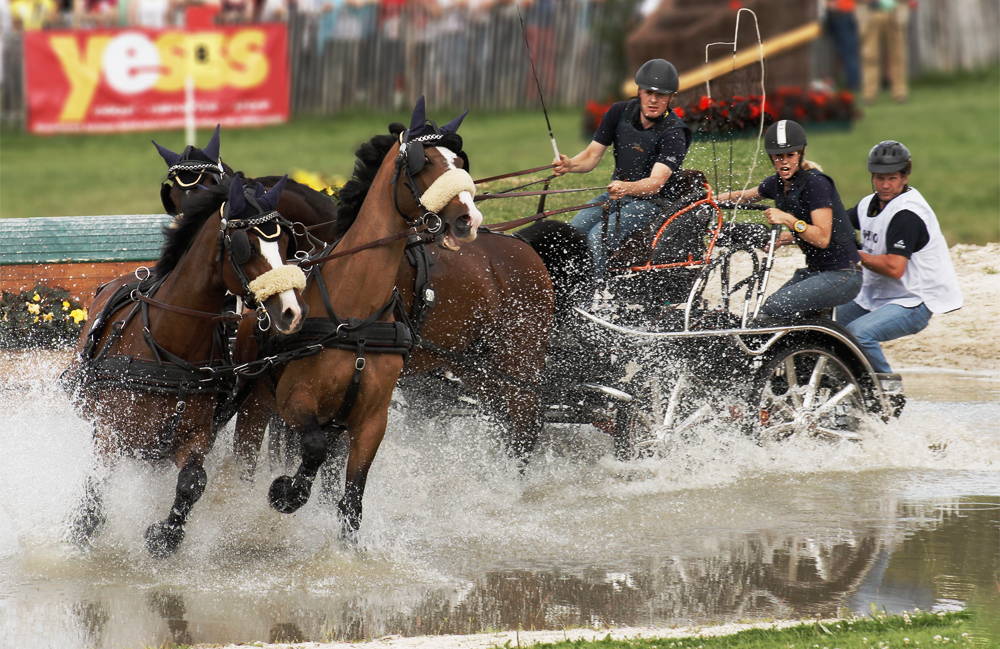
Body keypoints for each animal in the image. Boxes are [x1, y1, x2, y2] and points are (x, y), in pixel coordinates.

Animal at [64, 175, 306, 556]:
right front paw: (83, 527)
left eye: (284, 242)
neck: (166, 346)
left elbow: (193, 482)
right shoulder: (110, 433)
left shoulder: (195, 434)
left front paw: (164, 535)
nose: (291, 312)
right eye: (246, 246)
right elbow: (97, 483)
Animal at [262, 100, 492, 536]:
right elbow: (312, 450)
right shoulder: (293, 402)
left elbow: (351, 503)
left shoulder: (371, 423)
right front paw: (287, 492)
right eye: (424, 162)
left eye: (459, 161)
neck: (357, 320)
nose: (469, 219)